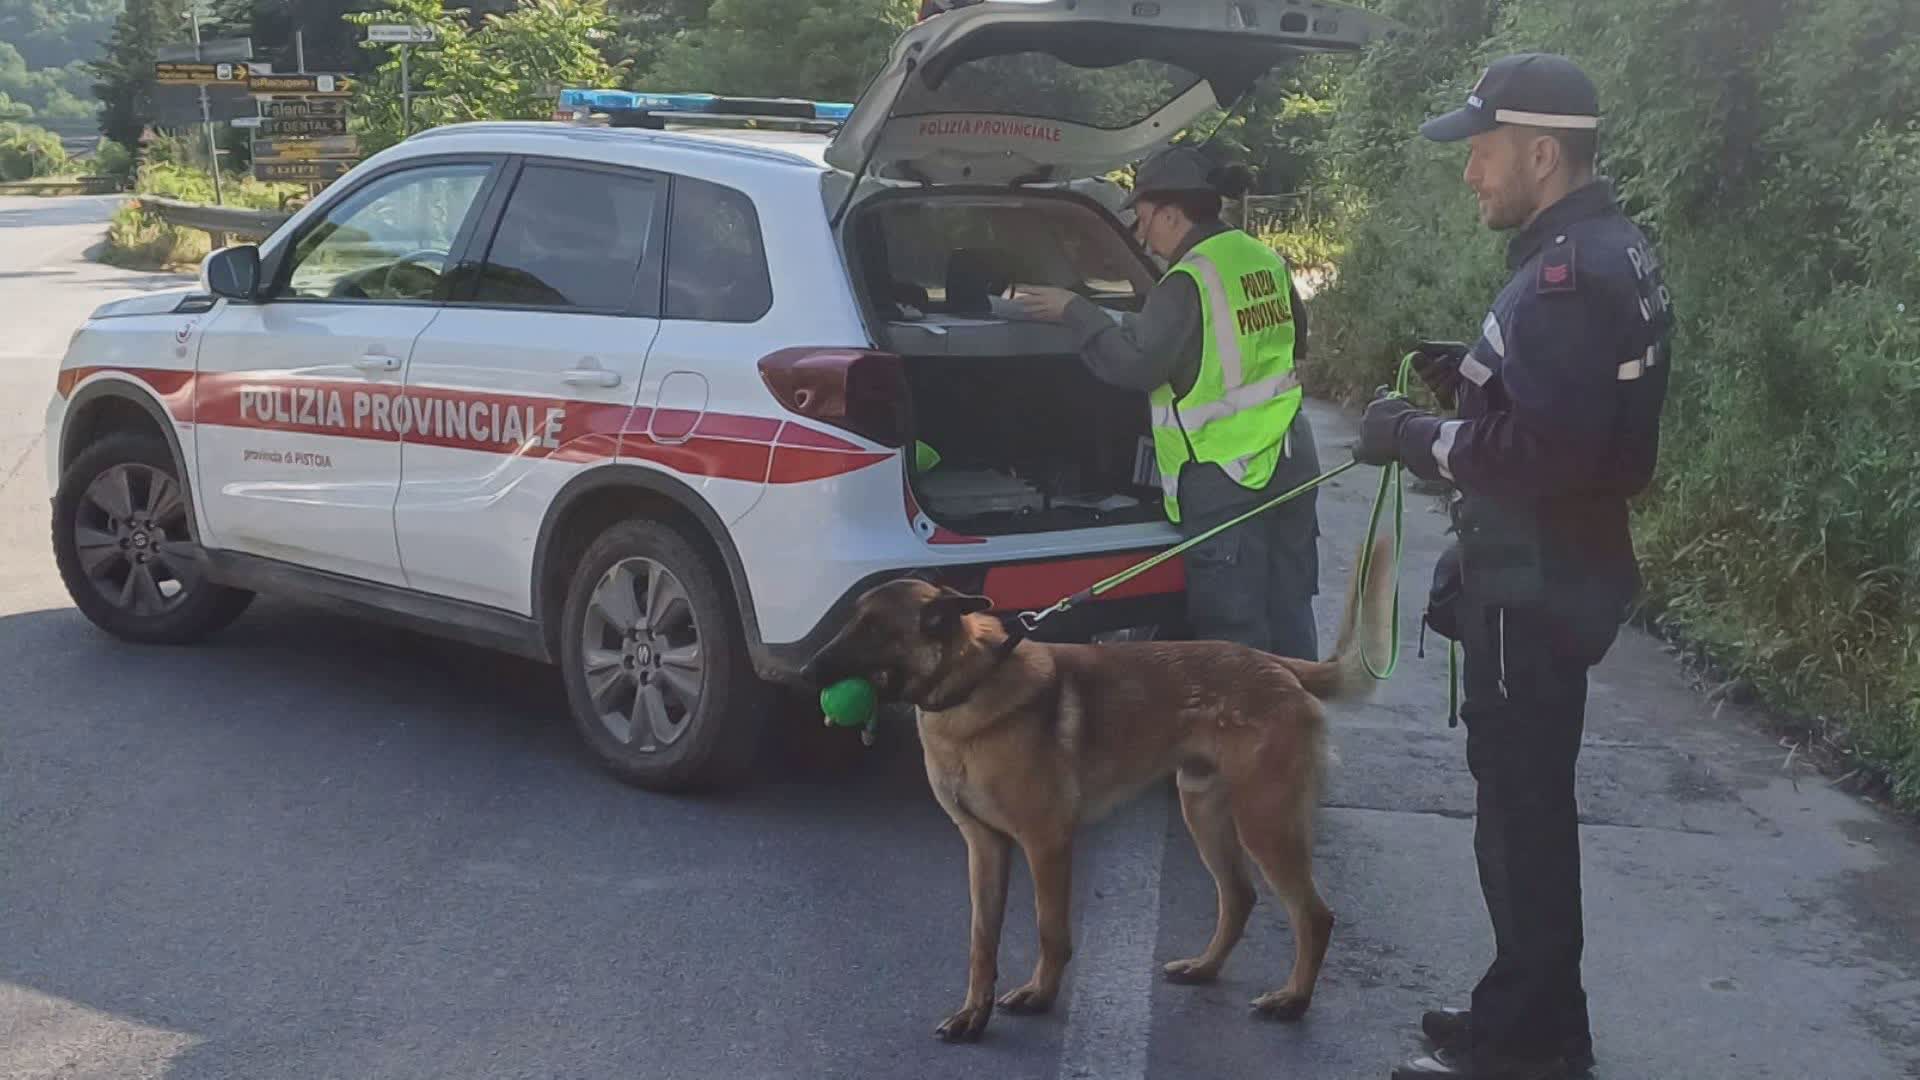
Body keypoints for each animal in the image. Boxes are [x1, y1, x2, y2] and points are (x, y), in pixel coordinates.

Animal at [798, 530, 1397, 1037]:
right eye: (851, 621)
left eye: (874, 629)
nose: (804, 673)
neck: (971, 683)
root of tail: (1280, 665)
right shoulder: (984, 848)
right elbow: (981, 941)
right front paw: (974, 1014)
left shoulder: (1046, 844)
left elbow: (1049, 930)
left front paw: (1039, 996)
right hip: (1203, 812)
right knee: (1240, 896)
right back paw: (1204, 967)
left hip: (1264, 824)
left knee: (1314, 915)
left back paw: (1292, 999)